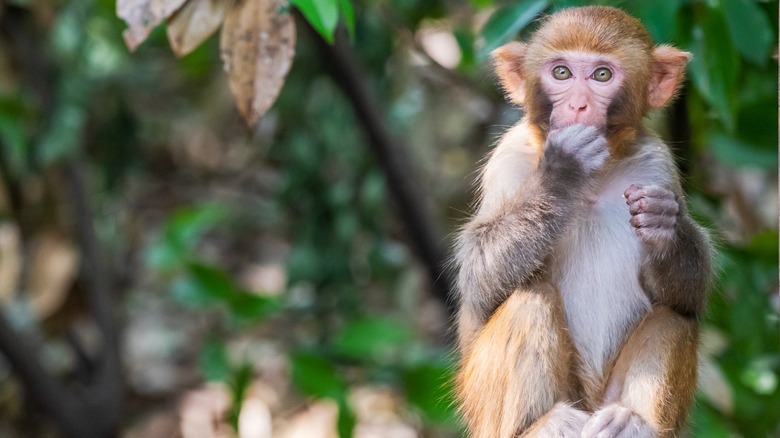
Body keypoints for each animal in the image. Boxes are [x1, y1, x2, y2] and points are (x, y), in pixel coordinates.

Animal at [454, 4, 716, 438]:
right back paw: (541, 424)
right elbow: (478, 277)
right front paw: (563, 171)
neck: (595, 181)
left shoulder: (656, 165)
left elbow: (690, 293)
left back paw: (633, 422)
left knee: (674, 315)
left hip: (604, 400)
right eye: (561, 73)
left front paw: (666, 227)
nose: (577, 106)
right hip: (485, 407)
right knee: (528, 299)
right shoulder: (509, 158)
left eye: (602, 75)